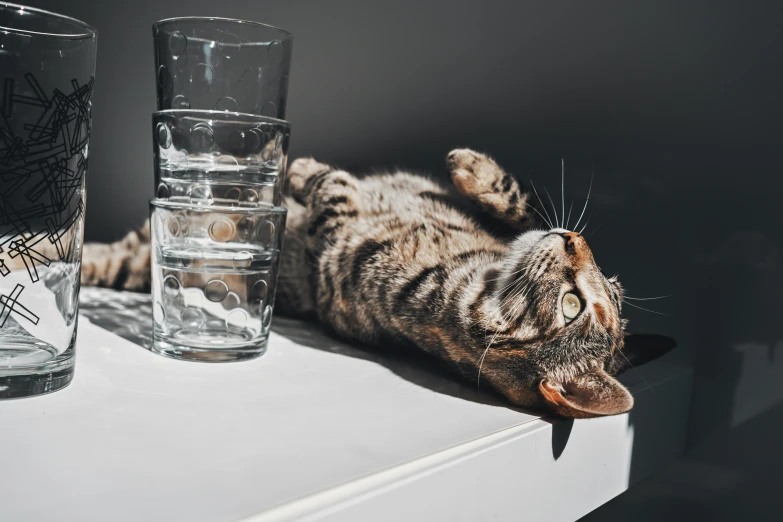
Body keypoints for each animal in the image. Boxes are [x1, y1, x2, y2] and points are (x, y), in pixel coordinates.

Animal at [81, 148, 672, 416]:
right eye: (600, 284)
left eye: (573, 306)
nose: (576, 238)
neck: (468, 267)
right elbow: (519, 202)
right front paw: (472, 167)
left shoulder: (335, 254)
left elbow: (334, 190)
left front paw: (300, 171)